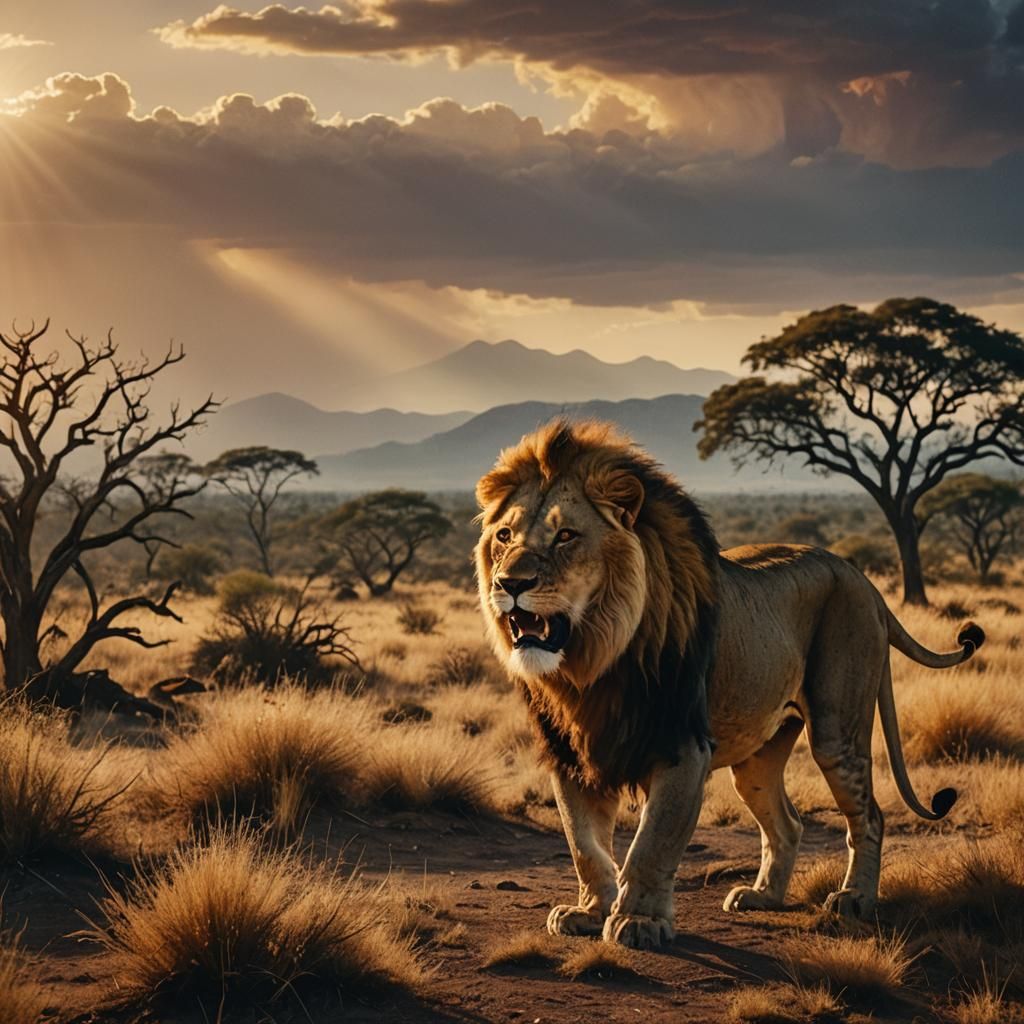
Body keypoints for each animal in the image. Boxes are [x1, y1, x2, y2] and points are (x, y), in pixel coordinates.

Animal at [474, 419, 983, 950]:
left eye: (566, 536)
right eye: (504, 536)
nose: (509, 584)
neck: (592, 666)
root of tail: (863, 579)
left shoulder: (683, 747)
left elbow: (651, 843)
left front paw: (638, 921)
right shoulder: (572, 753)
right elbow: (585, 845)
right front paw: (589, 912)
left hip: (837, 731)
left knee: (869, 815)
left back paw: (854, 899)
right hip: (756, 760)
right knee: (788, 823)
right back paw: (762, 896)